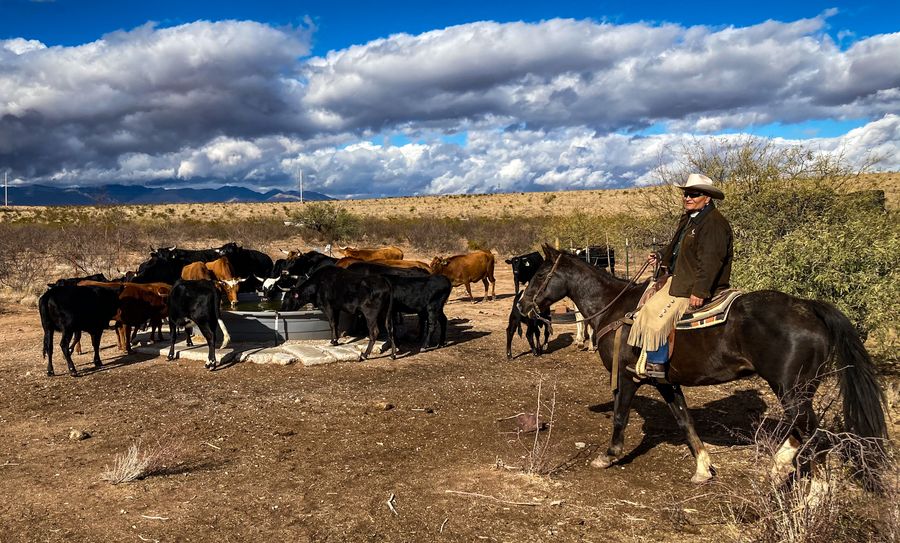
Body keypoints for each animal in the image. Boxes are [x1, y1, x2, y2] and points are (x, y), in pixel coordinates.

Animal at [516, 244, 888, 486]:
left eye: (538, 275)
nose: (521, 306)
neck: (616, 308)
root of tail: (808, 306)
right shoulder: (666, 382)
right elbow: (685, 422)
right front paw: (703, 468)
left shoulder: (626, 377)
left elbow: (621, 417)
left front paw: (608, 455)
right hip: (798, 392)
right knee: (805, 431)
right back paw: (785, 470)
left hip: (792, 389)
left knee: (813, 433)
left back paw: (808, 487)